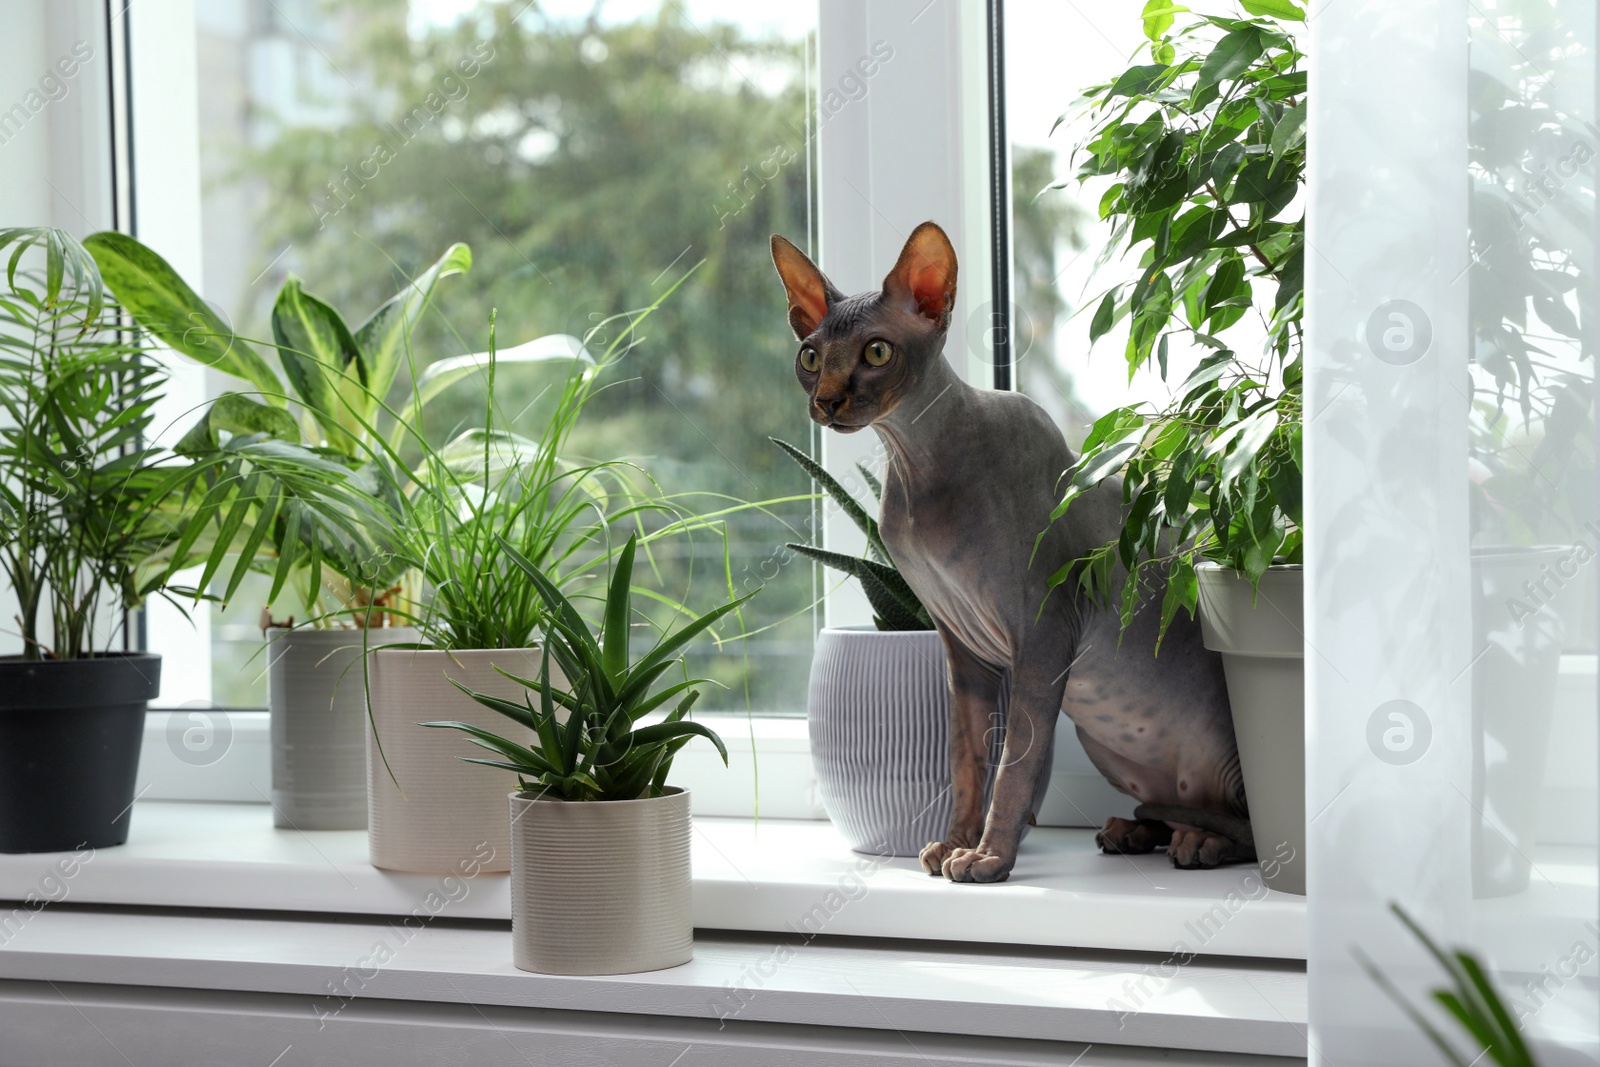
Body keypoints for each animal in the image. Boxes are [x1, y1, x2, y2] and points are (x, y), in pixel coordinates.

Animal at [771, 220, 1248, 883]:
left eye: (876, 352)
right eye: (811, 357)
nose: (828, 401)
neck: (916, 470)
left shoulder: (1043, 637)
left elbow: (1014, 764)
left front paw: (989, 857)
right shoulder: (964, 649)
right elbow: (968, 762)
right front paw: (954, 843)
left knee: (1248, 824)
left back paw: (1200, 842)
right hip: (1107, 747)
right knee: (1177, 806)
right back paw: (1136, 831)